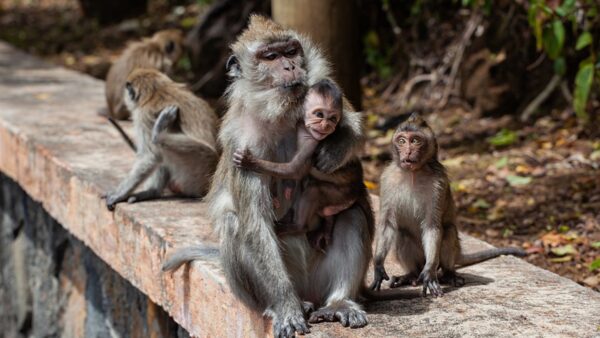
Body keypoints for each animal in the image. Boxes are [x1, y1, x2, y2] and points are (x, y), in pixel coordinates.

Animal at [104, 68, 219, 211]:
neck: (157, 91)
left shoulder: (143, 115)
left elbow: (150, 157)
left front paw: (119, 194)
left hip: (199, 172)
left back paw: (158, 134)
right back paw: (153, 192)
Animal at [211, 15, 370, 336]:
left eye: (291, 51)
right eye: (270, 57)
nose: (290, 67)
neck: (280, 114)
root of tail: (309, 291)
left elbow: (355, 127)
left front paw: (334, 148)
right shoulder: (240, 140)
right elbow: (255, 224)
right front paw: (286, 306)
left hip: (321, 277)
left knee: (352, 212)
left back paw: (339, 302)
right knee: (234, 223)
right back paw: (286, 304)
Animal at [370, 113, 524, 296]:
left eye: (415, 141)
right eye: (401, 141)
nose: (407, 151)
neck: (413, 173)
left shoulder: (439, 182)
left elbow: (432, 226)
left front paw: (429, 272)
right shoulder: (387, 179)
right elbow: (387, 224)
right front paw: (378, 266)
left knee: (449, 231)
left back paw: (448, 274)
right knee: (402, 234)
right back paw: (410, 275)